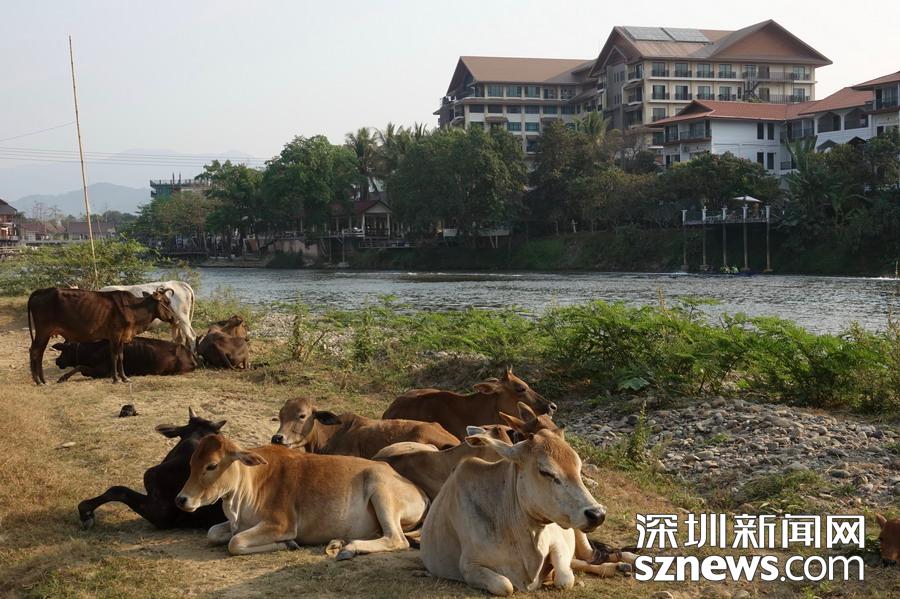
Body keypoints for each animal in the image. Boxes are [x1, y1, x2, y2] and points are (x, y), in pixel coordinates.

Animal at [27, 287, 177, 384]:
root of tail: (42, 291)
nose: (174, 318)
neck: (133, 309)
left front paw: (124, 377)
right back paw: (38, 380)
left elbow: (121, 356)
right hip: (43, 330)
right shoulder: (115, 334)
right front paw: (116, 379)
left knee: (39, 352)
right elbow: (114, 356)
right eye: (167, 302)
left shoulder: (121, 337)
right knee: (35, 351)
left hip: (44, 332)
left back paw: (42, 379)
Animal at [175, 434, 428, 559]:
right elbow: (213, 533)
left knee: (397, 539)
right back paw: (340, 542)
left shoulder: (281, 524)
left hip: (381, 491)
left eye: (212, 465)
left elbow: (234, 542)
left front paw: (288, 544)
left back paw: (350, 547)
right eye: (191, 463)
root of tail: (421, 493)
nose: (181, 499)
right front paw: (288, 545)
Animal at [420, 428, 610, 595]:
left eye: (578, 468)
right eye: (545, 472)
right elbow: (505, 586)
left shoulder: (558, 542)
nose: (597, 514)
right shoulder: (468, 565)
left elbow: (565, 579)